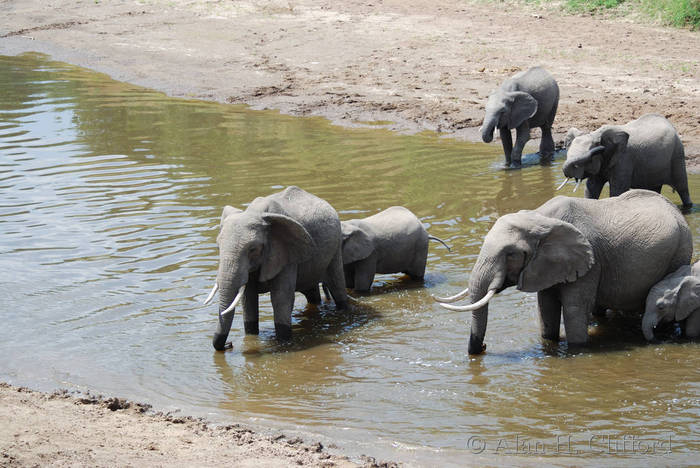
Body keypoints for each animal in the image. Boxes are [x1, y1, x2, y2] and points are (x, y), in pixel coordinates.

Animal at [202, 186, 348, 352]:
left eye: (252, 249)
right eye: (218, 247)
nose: (230, 344)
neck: (255, 213)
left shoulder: (286, 254)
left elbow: (281, 298)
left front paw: (283, 342)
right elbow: (248, 299)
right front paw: (252, 335)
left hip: (336, 245)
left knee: (337, 284)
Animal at [434, 188, 692, 352]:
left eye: (511, 254)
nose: (484, 348)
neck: (538, 217)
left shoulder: (590, 261)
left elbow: (573, 309)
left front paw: (576, 349)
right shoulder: (546, 266)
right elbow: (546, 307)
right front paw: (549, 343)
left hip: (680, 250)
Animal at [560, 112, 692, 207]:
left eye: (587, 160)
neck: (595, 133)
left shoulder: (624, 160)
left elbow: (617, 190)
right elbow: (592, 187)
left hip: (677, 154)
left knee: (682, 186)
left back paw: (688, 207)